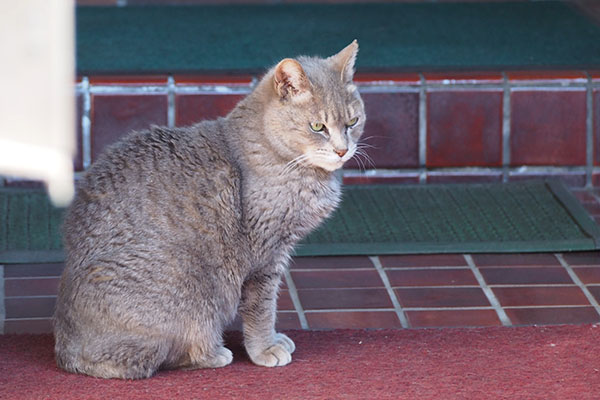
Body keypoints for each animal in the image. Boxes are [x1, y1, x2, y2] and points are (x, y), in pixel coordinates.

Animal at [54, 41, 364, 382]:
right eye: (318, 126)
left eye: (352, 123)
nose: (342, 150)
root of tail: (65, 352)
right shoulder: (264, 259)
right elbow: (262, 309)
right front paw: (265, 348)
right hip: (190, 288)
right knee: (151, 358)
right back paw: (215, 353)